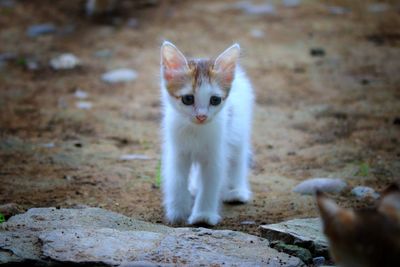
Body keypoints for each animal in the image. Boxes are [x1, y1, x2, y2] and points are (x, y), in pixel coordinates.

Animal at [159, 41, 253, 226]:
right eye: (188, 99)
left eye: (215, 100)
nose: (201, 116)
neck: (196, 130)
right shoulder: (178, 153)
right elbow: (177, 180)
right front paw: (177, 211)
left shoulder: (215, 155)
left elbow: (210, 183)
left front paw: (203, 215)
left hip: (238, 133)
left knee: (237, 159)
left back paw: (237, 191)